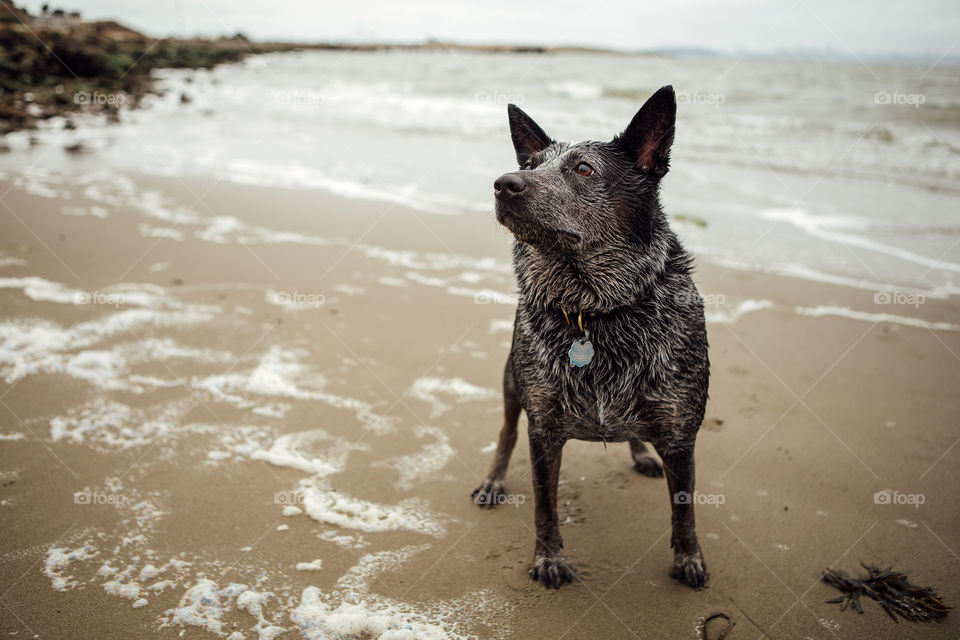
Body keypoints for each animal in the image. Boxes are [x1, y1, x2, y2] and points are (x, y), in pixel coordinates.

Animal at [474, 86, 708, 592]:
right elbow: (545, 505)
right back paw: (493, 481)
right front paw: (549, 559)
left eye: (583, 169)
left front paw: (688, 558)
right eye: (530, 164)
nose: (503, 183)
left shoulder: (681, 432)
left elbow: (684, 509)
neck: (595, 312)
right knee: (505, 432)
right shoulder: (543, 430)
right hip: (511, 380)